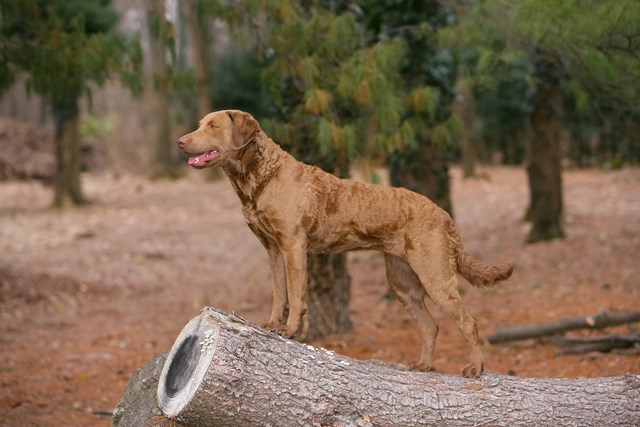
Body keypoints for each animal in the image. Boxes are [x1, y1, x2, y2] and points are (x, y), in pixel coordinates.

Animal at [178, 110, 512, 378]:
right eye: (200, 124)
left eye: (212, 126)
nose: (181, 141)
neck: (260, 177)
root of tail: (443, 214)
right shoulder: (272, 248)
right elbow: (278, 292)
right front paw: (271, 324)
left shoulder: (293, 244)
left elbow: (296, 295)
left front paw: (290, 330)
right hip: (402, 280)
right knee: (430, 326)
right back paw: (424, 366)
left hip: (435, 274)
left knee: (468, 322)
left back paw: (475, 369)